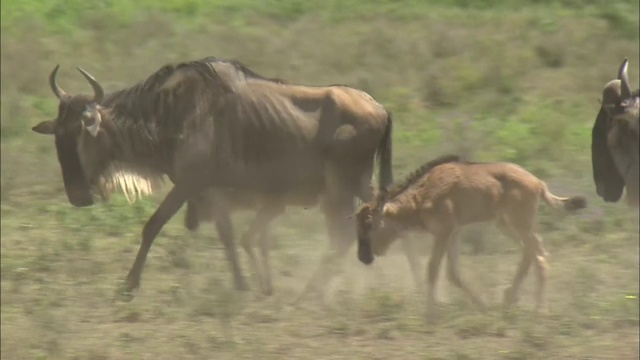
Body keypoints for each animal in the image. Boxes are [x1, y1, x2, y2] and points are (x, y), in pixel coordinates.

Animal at [356, 153, 584, 316]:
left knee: (539, 255)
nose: (364, 257)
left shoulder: (444, 233)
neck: (424, 194)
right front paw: (482, 305)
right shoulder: (454, 233)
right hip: (506, 225)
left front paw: (430, 312)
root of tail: (539, 183)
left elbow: (433, 270)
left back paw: (539, 309)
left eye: (369, 223)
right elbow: (452, 273)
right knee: (531, 252)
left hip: (519, 225)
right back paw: (510, 297)